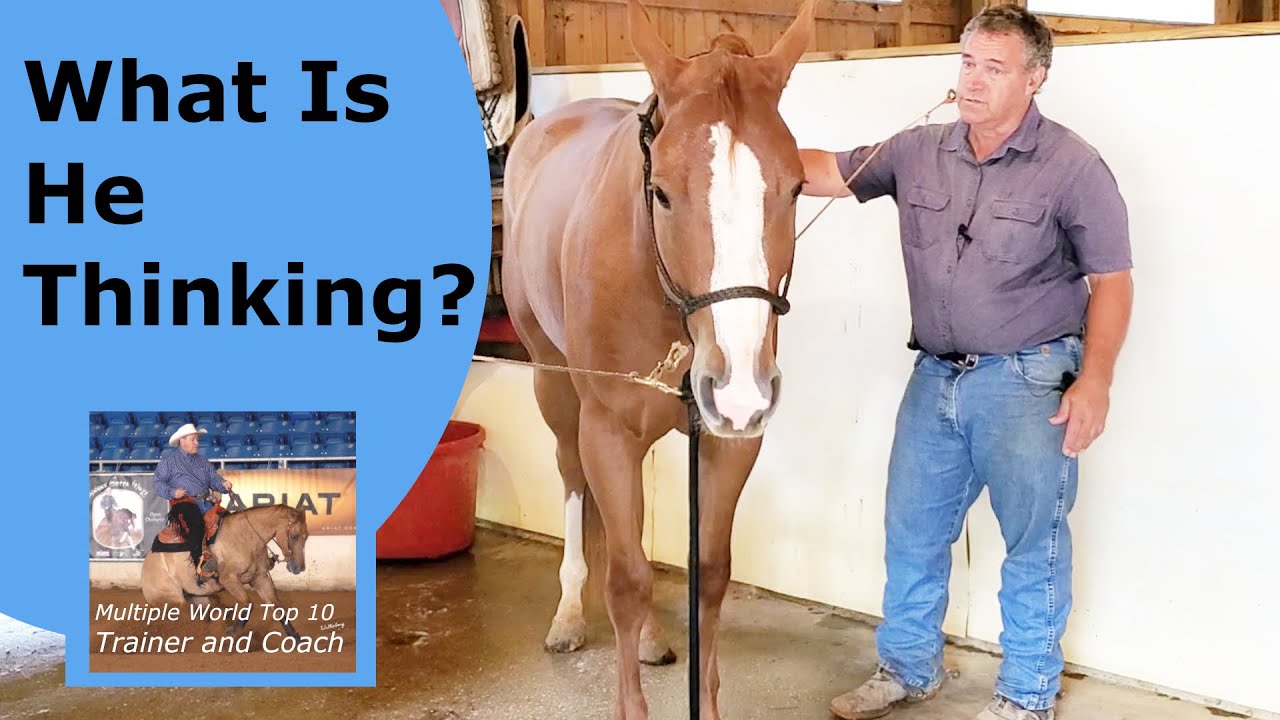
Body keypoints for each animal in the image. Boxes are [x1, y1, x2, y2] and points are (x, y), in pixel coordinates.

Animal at [141, 503, 310, 639]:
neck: (245, 537)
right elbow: (248, 604)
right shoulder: (229, 580)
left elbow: (278, 607)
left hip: (197, 597)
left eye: (306, 536)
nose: (299, 568)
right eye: (293, 536)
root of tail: (146, 565)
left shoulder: (260, 578)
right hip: (172, 600)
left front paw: (296, 639)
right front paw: (231, 631)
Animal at [500, 1, 814, 717]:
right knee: (572, 481)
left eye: (796, 188)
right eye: (663, 192)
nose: (739, 388)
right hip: (554, 388)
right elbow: (624, 580)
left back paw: (645, 636)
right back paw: (568, 613)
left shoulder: (729, 443)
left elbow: (710, 574)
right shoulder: (608, 431)